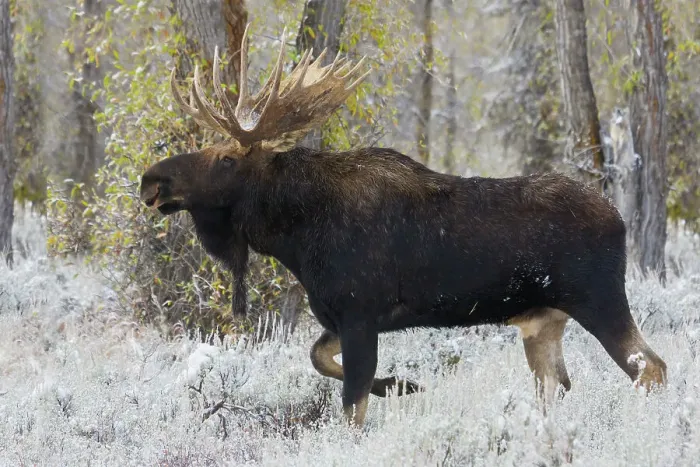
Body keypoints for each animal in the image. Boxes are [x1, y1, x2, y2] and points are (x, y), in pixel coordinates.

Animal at [140, 25, 667, 428]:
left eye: (226, 158)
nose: (151, 180)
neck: (296, 237)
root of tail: (619, 218)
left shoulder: (358, 312)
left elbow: (351, 410)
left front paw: (393, 389)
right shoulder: (341, 318)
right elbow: (319, 359)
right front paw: (403, 384)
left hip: (599, 298)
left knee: (651, 367)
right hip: (543, 320)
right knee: (558, 384)